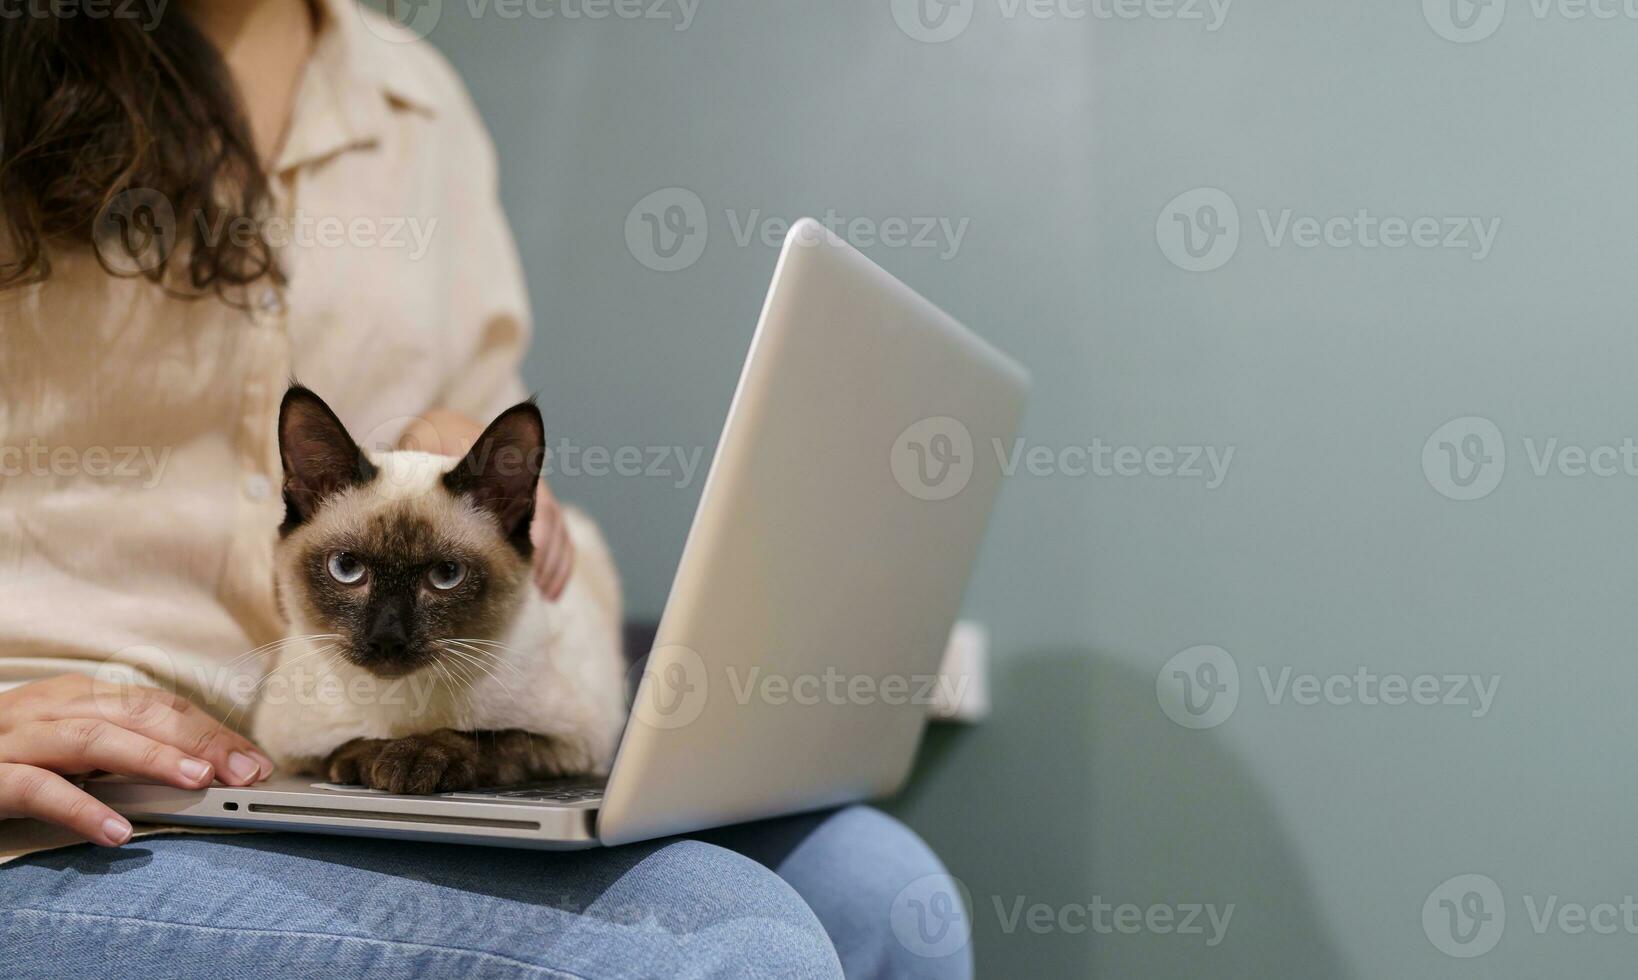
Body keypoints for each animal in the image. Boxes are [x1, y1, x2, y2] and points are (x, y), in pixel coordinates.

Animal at [252, 386, 628, 799]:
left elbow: (488, 737)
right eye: (347, 568)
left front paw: (413, 759)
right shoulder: (288, 749)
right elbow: (347, 746)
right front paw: (374, 762)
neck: (405, 706)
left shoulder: (575, 741)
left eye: (446, 575)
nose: (387, 638)